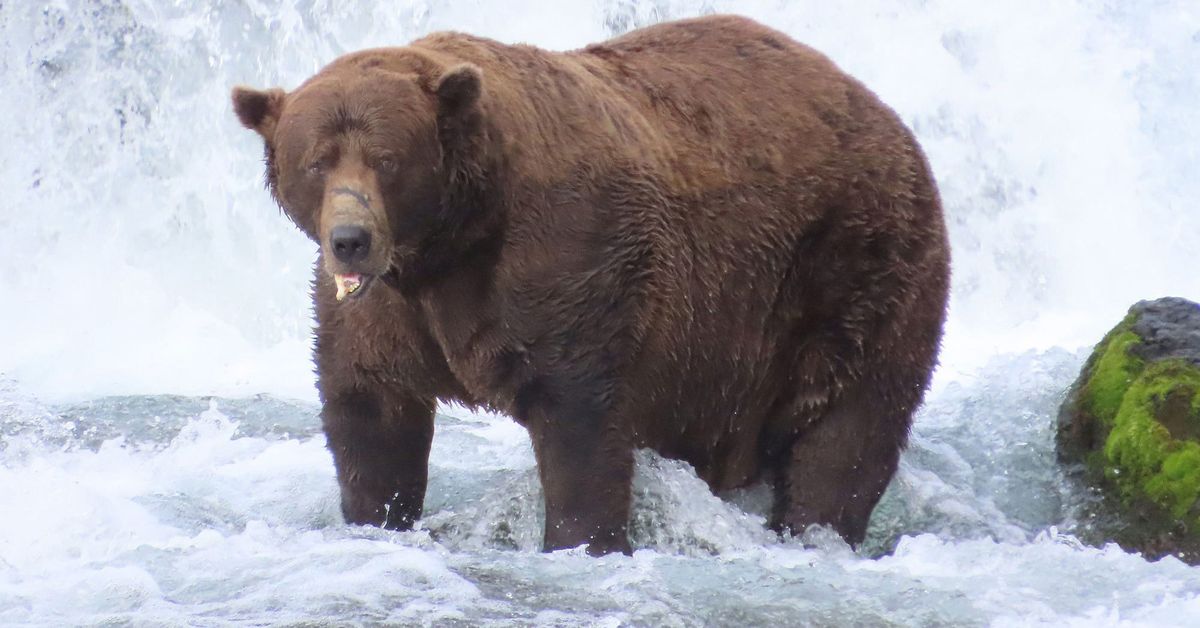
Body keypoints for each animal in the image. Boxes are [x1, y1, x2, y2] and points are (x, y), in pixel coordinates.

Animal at [231, 14, 950, 555]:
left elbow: (580, 419)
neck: (450, 244)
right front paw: (377, 516)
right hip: (726, 353)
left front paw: (582, 540)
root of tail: (886, 114)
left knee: (847, 430)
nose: (350, 238)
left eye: (387, 159)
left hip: (854, 267)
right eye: (316, 161)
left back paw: (815, 529)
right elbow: (371, 411)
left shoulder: (568, 260)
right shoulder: (385, 311)